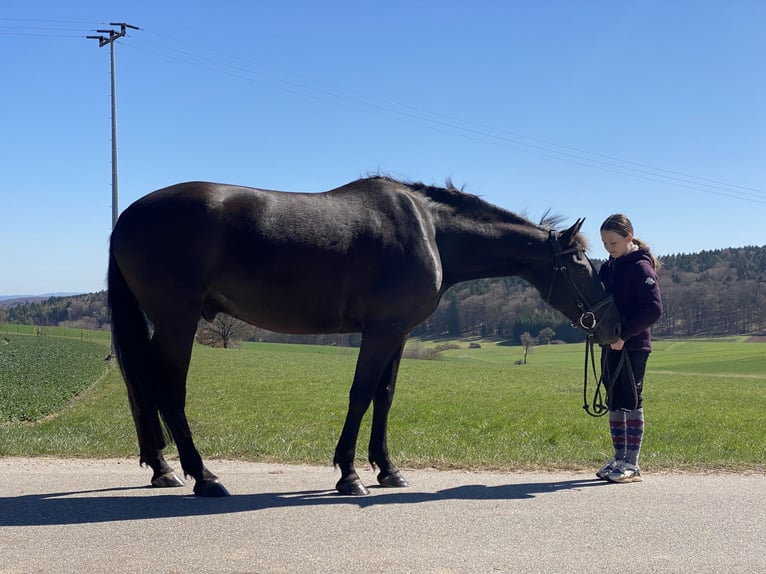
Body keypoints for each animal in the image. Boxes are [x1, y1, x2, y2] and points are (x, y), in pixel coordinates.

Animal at [107, 176, 620, 497]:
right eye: (580, 265)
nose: (612, 324)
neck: (431, 231)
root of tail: (128, 216)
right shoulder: (380, 330)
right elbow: (360, 394)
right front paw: (350, 474)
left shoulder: (398, 332)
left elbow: (384, 396)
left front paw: (388, 470)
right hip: (177, 320)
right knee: (167, 390)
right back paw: (203, 476)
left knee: (140, 386)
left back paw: (163, 468)